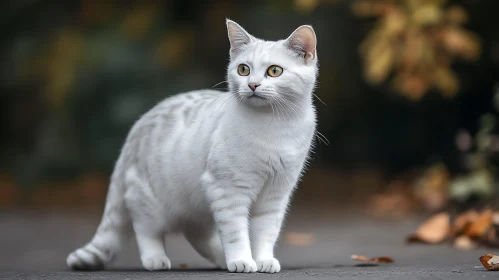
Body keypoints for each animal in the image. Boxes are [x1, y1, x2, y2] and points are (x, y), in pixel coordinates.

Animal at [66, 19, 318, 274]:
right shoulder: (227, 190)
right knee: (147, 230)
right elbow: (236, 233)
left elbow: (266, 233)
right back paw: (156, 259)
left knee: (197, 235)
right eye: (243, 69)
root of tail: (135, 130)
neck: (275, 126)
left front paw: (263, 259)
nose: (253, 84)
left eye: (274, 71)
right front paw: (242, 260)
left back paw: (221, 259)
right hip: (148, 200)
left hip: (199, 205)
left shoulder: (275, 194)